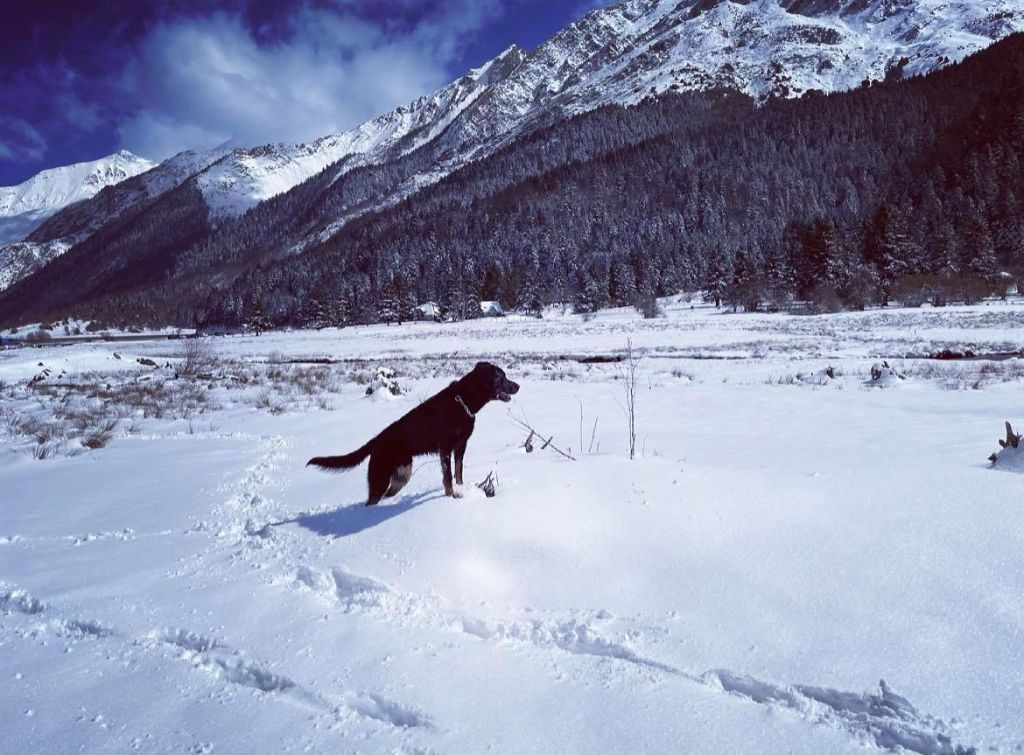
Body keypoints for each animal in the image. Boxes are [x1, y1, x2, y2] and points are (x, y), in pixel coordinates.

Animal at [305, 360, 520, 504]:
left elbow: (458, 473)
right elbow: (448, 478)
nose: (518, 386)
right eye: (500, 377)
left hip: (402, 475)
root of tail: (375, 440)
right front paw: (452, 496)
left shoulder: (461, 446)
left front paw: (462, 489)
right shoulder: (445, 449)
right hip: (380, 476)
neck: (463, 402)